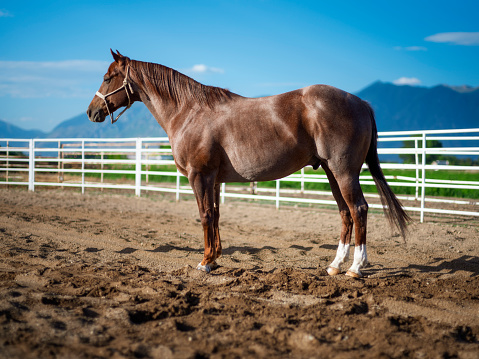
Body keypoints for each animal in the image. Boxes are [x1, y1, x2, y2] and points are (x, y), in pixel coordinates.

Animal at [88, 50, 410, 278]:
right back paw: (334, 265)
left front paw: (204, 262)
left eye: (108, 77)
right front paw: (215, 259)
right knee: (345, 213)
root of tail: (361, 103)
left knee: (359, 209)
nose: (92, 112)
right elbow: (216, 216)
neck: (190, 112)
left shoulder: (199, 175)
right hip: (331, 172)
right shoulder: (214, 179)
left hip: (344, 171)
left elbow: (205, 216)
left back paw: (355, 268)